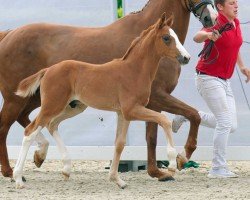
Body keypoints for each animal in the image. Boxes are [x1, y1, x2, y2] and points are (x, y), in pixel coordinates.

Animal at [0, 0, 216, 180]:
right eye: (166, 38)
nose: (211, 18)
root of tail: (8, 34)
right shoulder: (154, 99)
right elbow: (185, 117)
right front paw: (178, 159)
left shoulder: (143, 105)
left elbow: (147, 136)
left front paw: (155, 171)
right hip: (21, 99)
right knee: (9, 127)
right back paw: (12, 172)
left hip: (49, 101)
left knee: (36, 121)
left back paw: (45, 157)